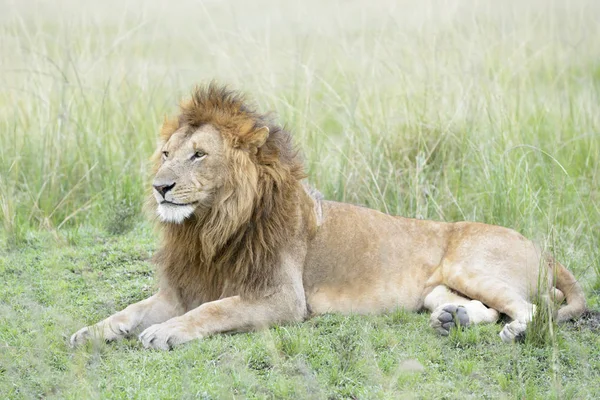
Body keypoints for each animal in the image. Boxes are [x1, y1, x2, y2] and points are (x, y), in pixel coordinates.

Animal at [70, 83, 584, 348]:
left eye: (198, 155)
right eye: (165, 153)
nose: (160, 187)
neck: (208, 230)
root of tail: (542, 248)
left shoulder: (281, 299)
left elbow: (215, 309)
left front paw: (165, 333)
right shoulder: (181, 289)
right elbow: (128, 312)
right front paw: (89, 333)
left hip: (471, 264)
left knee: (535, 307)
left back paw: (514, 330)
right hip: (438, 288)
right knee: (489, 306)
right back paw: (452, 320)